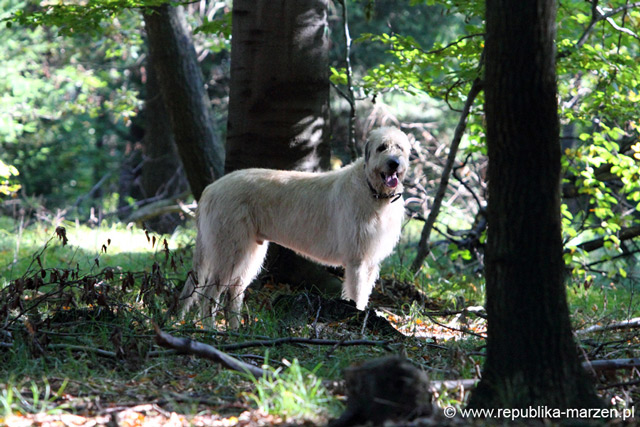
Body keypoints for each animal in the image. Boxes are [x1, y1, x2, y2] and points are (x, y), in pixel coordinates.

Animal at [180, 126, 410, 328]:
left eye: (400, 148)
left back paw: (234, 331)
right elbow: (356, 295)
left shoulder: (370, 262)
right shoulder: (357, 261)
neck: (372, 191)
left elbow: (363, 295)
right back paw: (211, 330)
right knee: (209, 295)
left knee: (234, 293)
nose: (394, 163)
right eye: (382, 147)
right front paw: (356, 319)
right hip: (229, 249)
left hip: (249, 253)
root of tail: (210, 189)